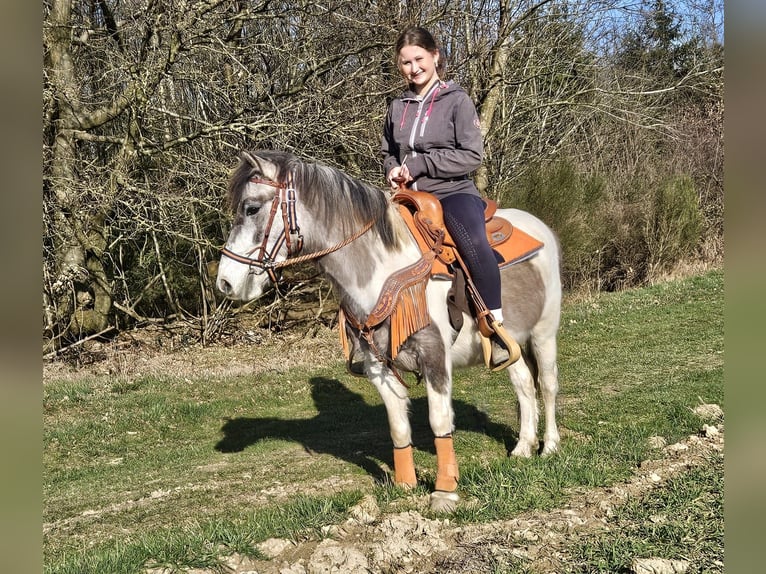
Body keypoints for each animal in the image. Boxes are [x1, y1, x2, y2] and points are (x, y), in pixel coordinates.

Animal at [216, 150, 562, 512]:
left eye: (251, 208)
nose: (225, 283)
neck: (384, 269)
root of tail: (540, 228)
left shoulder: (434, 357)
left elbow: (440, 421)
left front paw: (445, 491)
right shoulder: (378, 365)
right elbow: (397, 427)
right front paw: (405, 485)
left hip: (544, 333)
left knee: (547, 385)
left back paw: (549, 446)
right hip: (510, 346)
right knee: (523, 384)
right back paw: (523, 447)